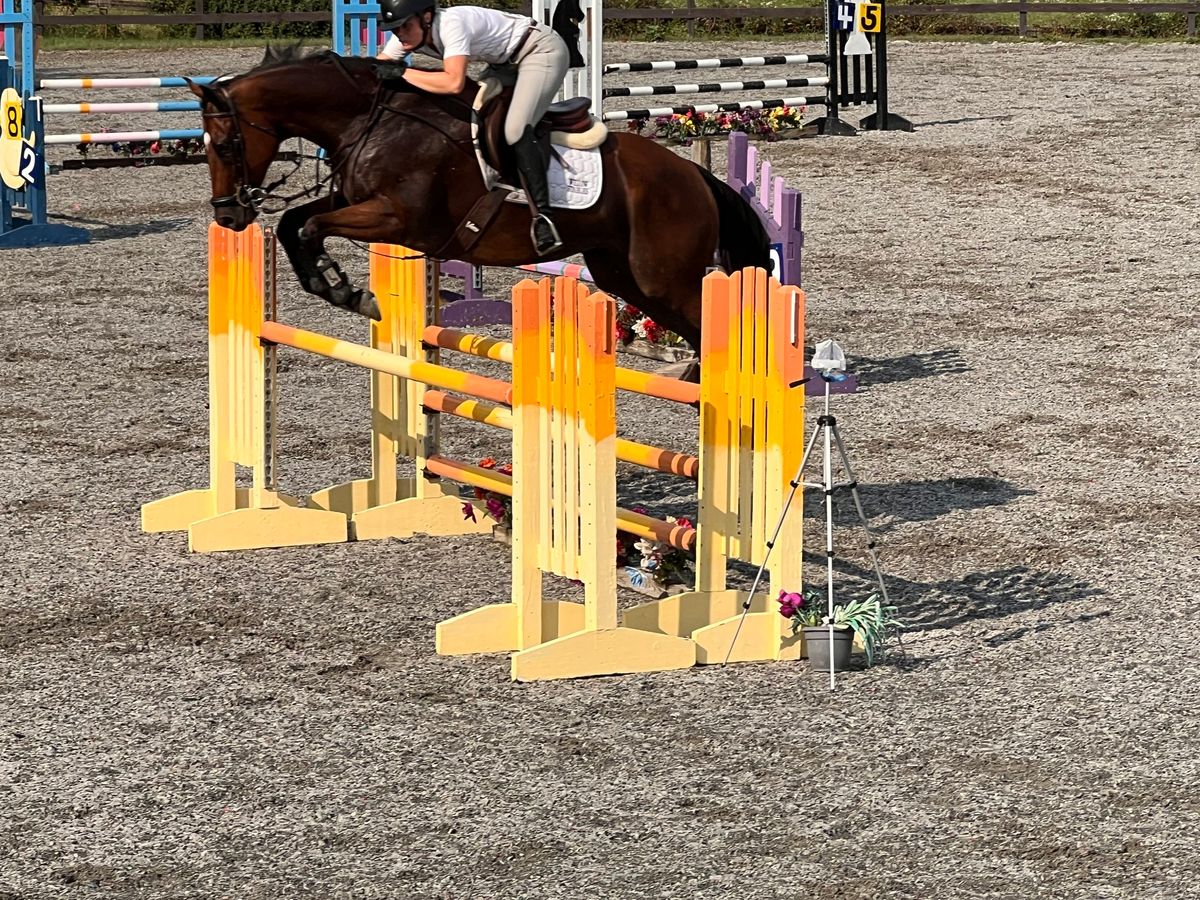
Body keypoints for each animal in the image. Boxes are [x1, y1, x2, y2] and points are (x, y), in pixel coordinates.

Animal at [187, 47, 768, 352]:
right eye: (204, 145)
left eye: (226, 144)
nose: (230, 216)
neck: (368, 119)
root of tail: (695, 175)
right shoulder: (353, 203)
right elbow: (294, 223)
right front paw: (338, 290)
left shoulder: (396, 219)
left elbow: (309, 228)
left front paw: (348, 291)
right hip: (623, 275)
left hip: (662, 277)